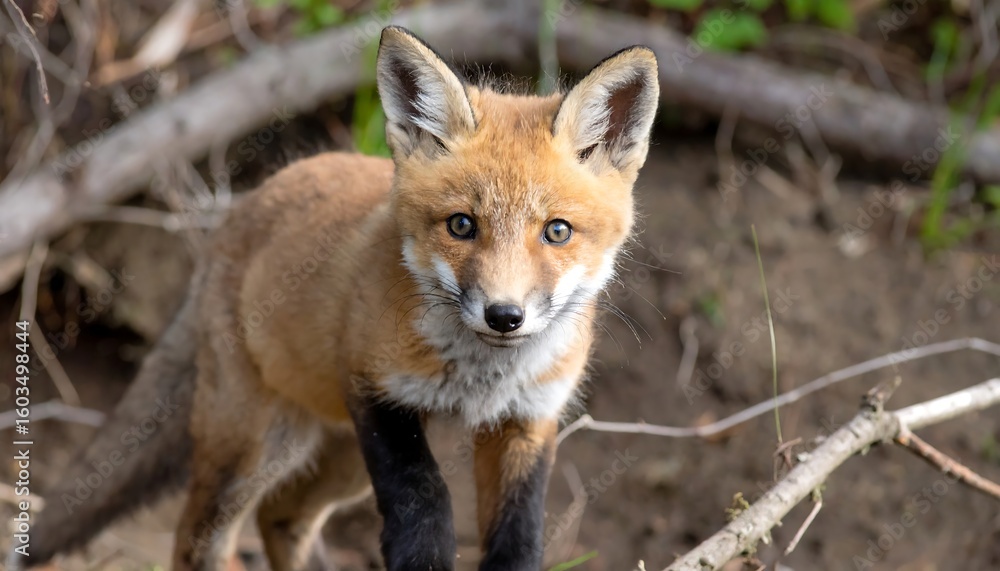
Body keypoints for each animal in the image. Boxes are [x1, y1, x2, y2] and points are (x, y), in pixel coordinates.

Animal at [13, 26, 659, 571]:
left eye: (557, 231)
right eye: (461, 225)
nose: (504, 316)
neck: (480, 380)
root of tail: (246, 204)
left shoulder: (528, 419)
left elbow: (518, 539)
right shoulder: (374, 390)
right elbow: (423, 505)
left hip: (339, 456)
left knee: (283, 518)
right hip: (260, 442)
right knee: (200, 538)